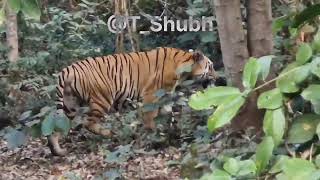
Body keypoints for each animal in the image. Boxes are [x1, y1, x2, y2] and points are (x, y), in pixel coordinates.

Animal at [48, 47, 218, 155]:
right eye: (210, 66)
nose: (218, 78)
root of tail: (67, 70)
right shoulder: (151, 96)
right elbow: (151, 119)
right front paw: (154, 137)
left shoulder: (165, 96)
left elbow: (169, 116)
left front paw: (172, 134)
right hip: (102, 99)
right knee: (88, 123)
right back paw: (112, 134)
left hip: (69, 105)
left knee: (56, 129)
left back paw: (58, 151)